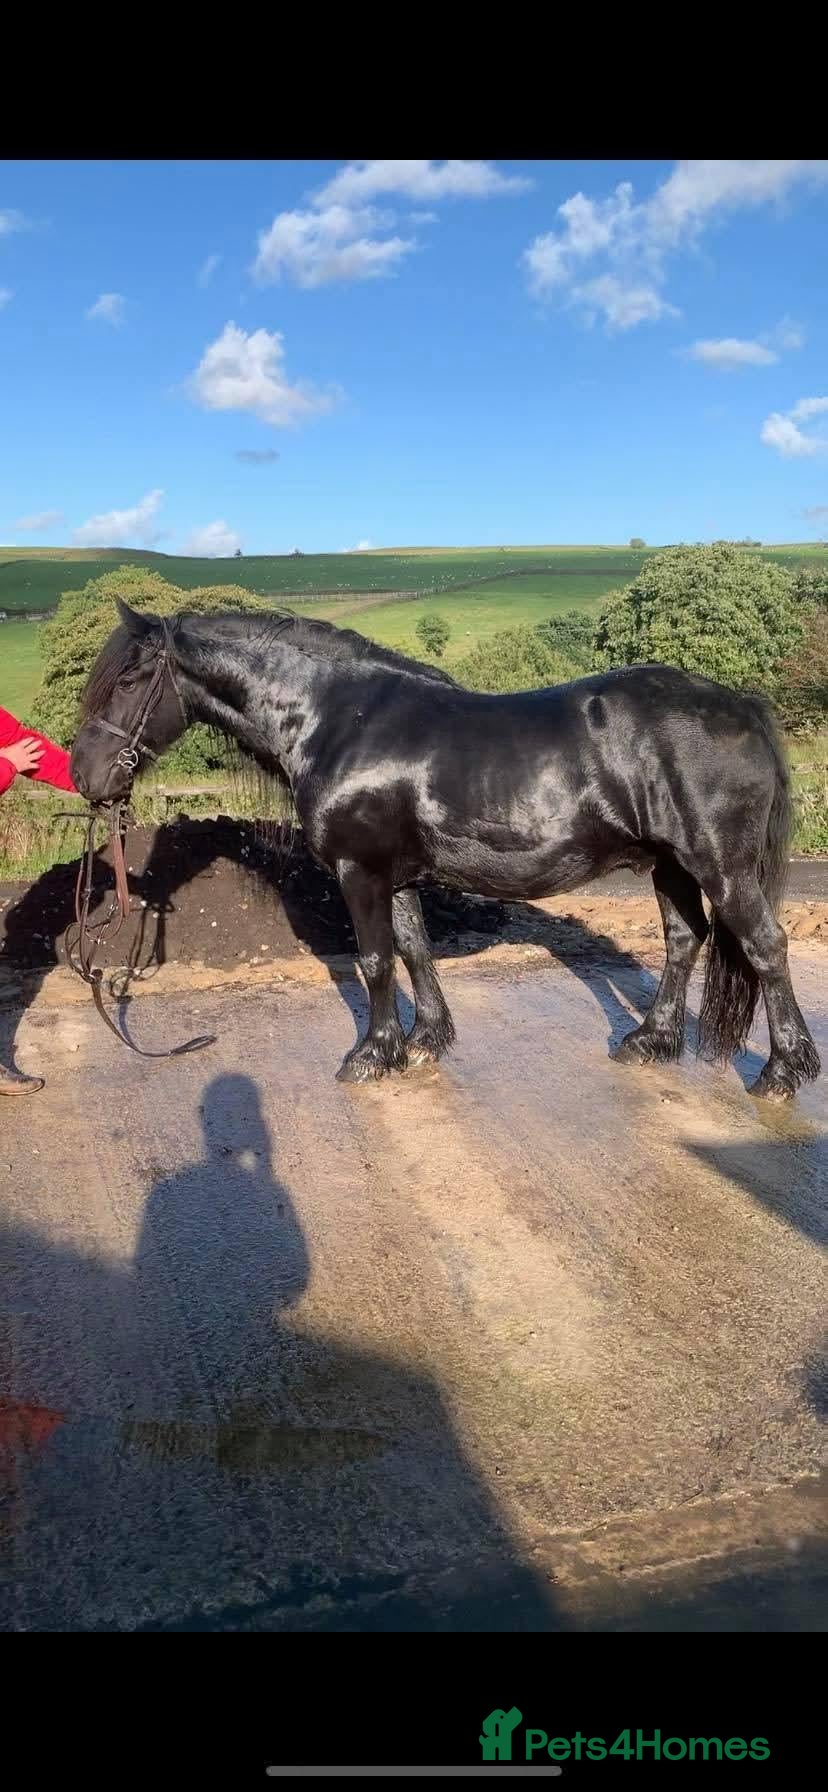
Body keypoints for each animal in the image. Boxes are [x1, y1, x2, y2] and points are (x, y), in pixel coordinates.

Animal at [70, 599, 820, 1101]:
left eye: (129, 680)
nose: (84, 776)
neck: (336, 718)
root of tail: (741, 706)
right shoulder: (395, 876)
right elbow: (413, 950)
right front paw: (423, 1042)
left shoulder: (360, 871)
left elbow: (375, 960)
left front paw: (371, 1054)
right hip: (670, 865)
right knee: (683, 940)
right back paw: (650, 1041)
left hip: (720, 866)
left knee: (764, 947)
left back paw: (783, 1071)